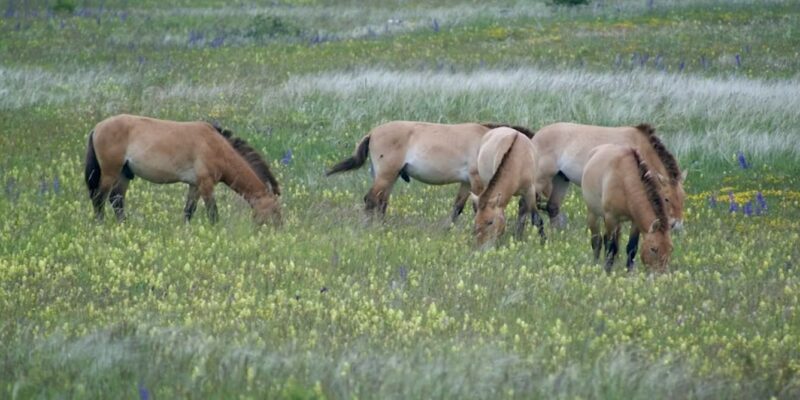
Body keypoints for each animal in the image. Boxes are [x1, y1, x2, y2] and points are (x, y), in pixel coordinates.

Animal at [83, 114, 282, 225]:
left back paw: (123, 225)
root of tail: (97, 127)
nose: (279, 230)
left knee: (116, 200)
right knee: (99, 199)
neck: (217, 148)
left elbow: (188, 211)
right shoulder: (206, 184)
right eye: (275, 210)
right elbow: (213, 213)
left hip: (124, 174)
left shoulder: (195, 185)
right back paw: (101, 225)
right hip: (110, 172)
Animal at [324, 120, 532, 223]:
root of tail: (372, 132)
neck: (489, 142)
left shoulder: (466, 182)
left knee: (381, 202)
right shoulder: (476, 181)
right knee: (371, 200)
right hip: (385, 176)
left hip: (389, 177)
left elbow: (457, 208)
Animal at [532, 121, 688, 231]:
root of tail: (535, 138)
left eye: (683, 198)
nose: (677, 225)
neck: (638, 147)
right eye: (666, 198)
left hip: (561, 179)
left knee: (552, 208)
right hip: (540, 179)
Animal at [580, 143, 676, 272]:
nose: (661, 273)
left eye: (670, 249)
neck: (624, 180)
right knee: (597, 241)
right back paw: (595, 264)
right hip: (593, 214)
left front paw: (629, 272)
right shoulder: (611, 217)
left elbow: (631, 247)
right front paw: (607, 271)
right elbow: (610, 246)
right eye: (653, 249)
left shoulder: (635, 221)